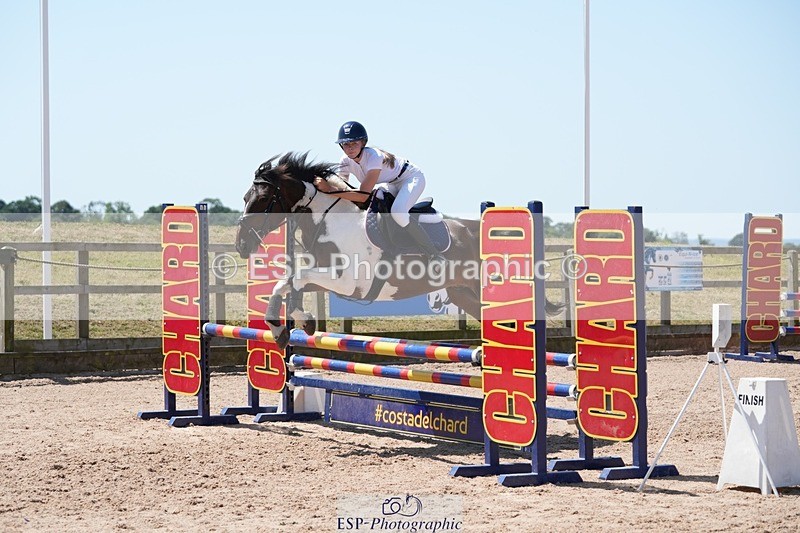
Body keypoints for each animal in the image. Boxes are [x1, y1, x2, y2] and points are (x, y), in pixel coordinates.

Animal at [235, 152, 562, 347]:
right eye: (245, 197)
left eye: (262, 200)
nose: (241, 244)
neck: (331, 218)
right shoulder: (329, 277)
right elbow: (286, 283)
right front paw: (286, 327)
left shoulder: (351, 283)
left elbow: (296, 279)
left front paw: (295, 323)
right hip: (462, 292)